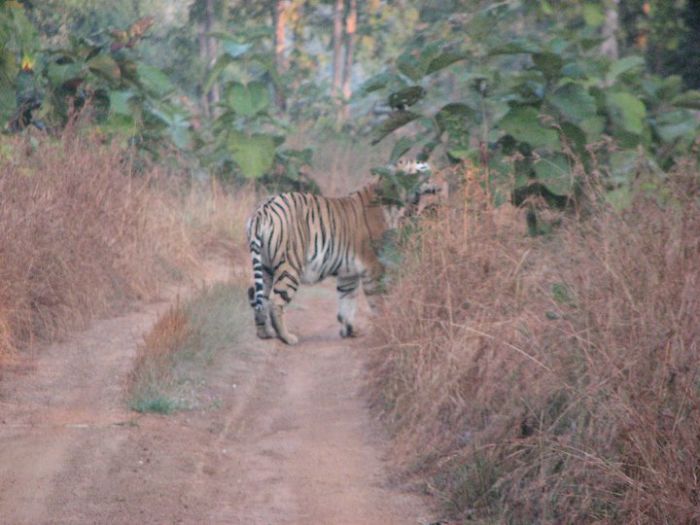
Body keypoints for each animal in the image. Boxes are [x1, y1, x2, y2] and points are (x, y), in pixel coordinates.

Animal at [245, 159, 438, 345]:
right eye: (423, 168)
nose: (437, 178)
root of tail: (262, 210)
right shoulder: (374, 267)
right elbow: (378, 301)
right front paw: (385, 326)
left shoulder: (348, 272)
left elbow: (347, 302)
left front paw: (350, 331)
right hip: (290, 265)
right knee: (275, 302)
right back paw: (287, 337)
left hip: (265, 266)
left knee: (259, 298)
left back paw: (265, 334)